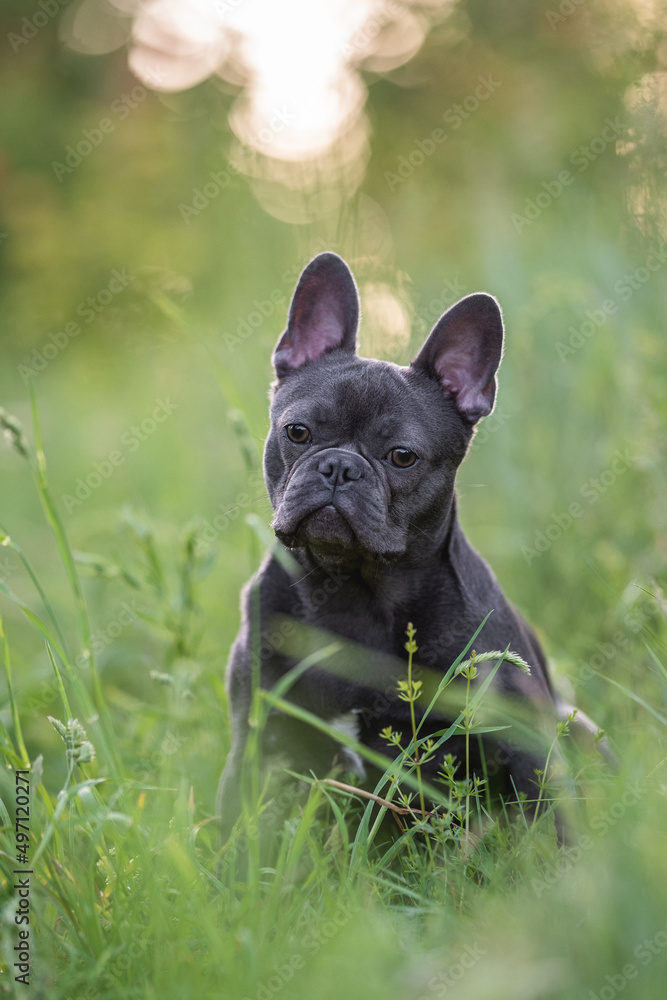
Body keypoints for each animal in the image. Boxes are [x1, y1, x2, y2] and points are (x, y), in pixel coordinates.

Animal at [217, 252, 568, 836]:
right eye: (297, 432)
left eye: (402, 456)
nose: (340, 466)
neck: (353, 588)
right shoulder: (259, 733)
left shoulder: (526, 747)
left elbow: (549, 827)